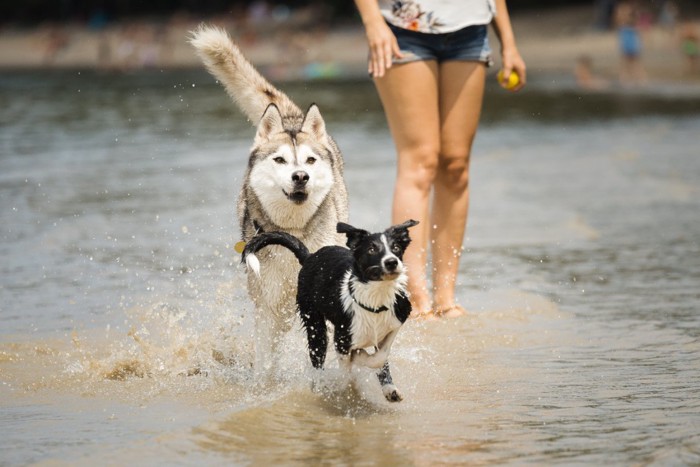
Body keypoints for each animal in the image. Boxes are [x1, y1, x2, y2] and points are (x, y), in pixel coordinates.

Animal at [187, 25, 348, 356]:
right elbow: (266, 359)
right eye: (280, 160)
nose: (301, 177)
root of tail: (291, 119)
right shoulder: (269, 308)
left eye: (310, 160)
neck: (294, 233)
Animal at [242, 220, 416, 402]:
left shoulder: (398, 319)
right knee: (318, 360)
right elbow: (347, 370)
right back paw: (319, 386)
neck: (376, 300)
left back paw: (389, 389)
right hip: (315, 328)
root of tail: (310, 257)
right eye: (371, 249)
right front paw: (353, 367)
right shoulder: (341, 339)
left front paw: (370, 366)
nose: (391, 262)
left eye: (396, 247)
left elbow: (381, 356)